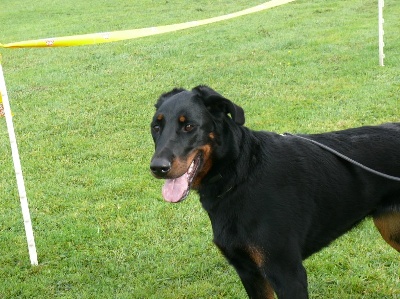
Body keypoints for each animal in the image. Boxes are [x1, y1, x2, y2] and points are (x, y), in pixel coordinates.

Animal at [150, 85, 400, 298]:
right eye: (156, 127)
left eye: (189, 126)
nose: (157, 167)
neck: (240, 175)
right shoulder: (249, 272)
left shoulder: (286, 273)